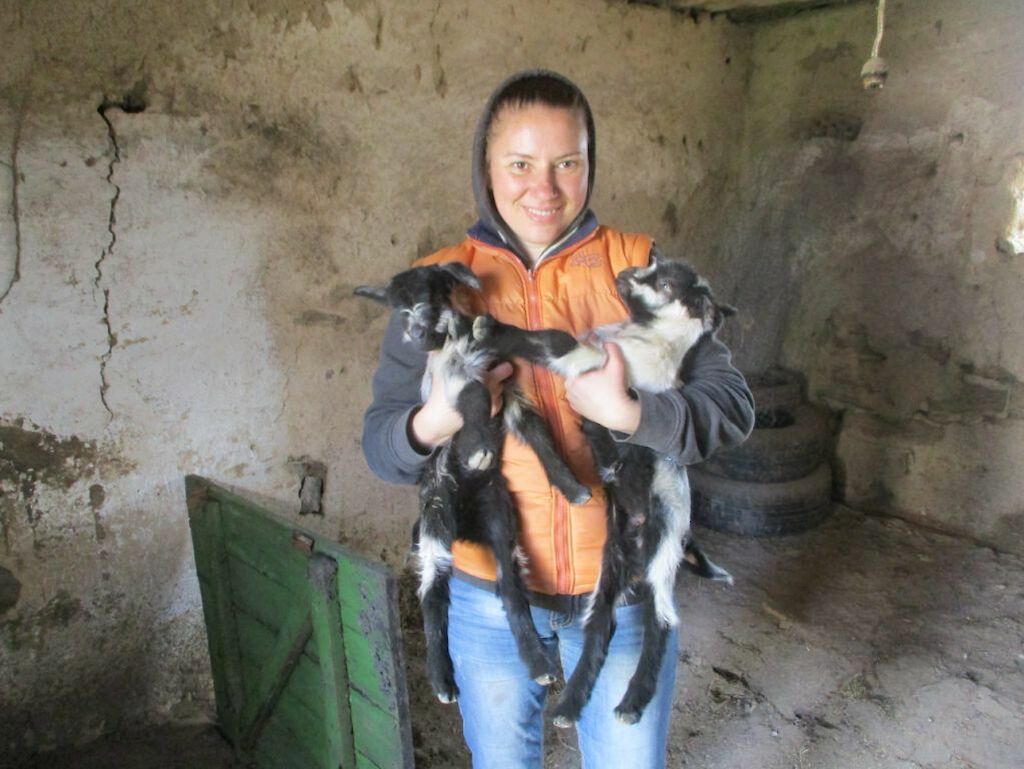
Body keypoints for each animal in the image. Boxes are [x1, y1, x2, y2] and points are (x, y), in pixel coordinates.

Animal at [355, 262, 591, 704]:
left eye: (430, 297)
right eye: (399, 311)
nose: (418, 336)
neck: (453, 341)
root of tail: (464, 526)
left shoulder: (507, 385)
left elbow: (539, 433)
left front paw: (573, 489)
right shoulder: (454, 381)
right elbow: (476, 395)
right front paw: (479, 447)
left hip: (500, 518)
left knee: (511, 591)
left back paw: (538, 664)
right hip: (435, 517)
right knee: (433, 596)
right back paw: (443, 681)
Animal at [471, 253, 736, 726]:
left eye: (666, 284)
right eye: (654, 263)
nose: (628, 274)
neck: (645, 337)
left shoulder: (591, 363)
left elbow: (552, 341)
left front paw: (491, 329)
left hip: (664, 541)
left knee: (661, 620)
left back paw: (632, 702)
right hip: (611, 562)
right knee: (601, 625)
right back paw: (570, 705)